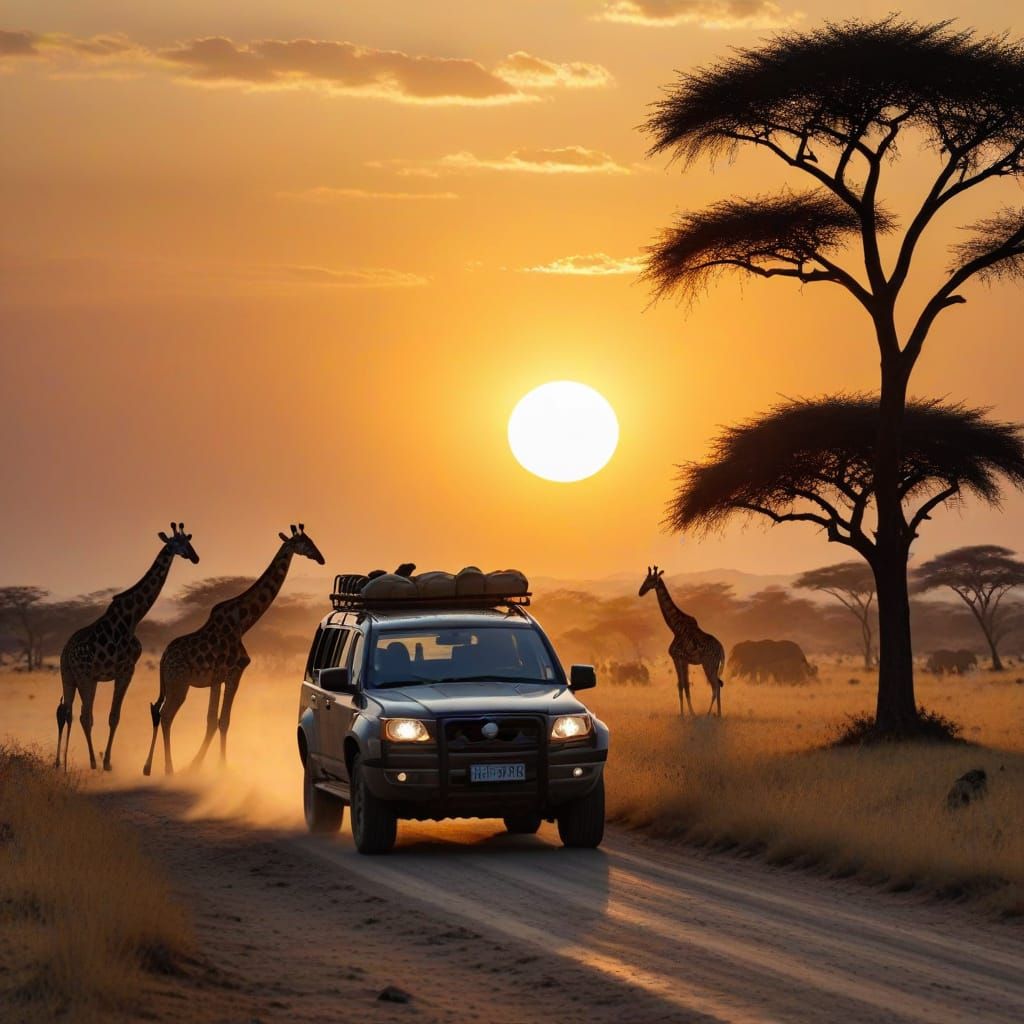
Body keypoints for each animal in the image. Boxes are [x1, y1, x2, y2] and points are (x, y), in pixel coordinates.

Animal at [56, 523, 199, 771]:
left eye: (189, 541)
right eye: (177, 543)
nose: (194, 557)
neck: (132, 618)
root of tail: (66, 652)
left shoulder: (121, 671)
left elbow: (113, 716)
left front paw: (107, 760)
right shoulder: (126, 670)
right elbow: (114, 716)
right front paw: (106, 762)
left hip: (68, 675)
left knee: (67, 712)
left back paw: (61, 764)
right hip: (85, 677)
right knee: (84, 715)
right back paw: (91, 762)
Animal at [143, 524, 325, 776]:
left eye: (311, 540)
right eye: (304, 543)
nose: (321, 558)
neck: (242, 622)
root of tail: (162, 659)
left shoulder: (217, 678)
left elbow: (213, 720)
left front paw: (199, 765)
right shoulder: (232, 672)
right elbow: (222, 720)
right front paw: (218, 766)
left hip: (170, 683)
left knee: (157, 711)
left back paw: (150, 767)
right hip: (179, 683)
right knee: (167, 715)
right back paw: (169, 768)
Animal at [639, 566, 725, 717]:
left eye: (650, 580)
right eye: (645, 578)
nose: (640, 592)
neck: (675, 627)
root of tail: (721, 648)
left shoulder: (677, 657)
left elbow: (682, 686)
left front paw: (686, 714)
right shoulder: (684, 661)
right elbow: (684, 686)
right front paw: (689, 713)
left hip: (708, 664)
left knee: (715, 686)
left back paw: (709, 714)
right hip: (713, 666)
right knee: (719, 684)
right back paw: (719, 715)